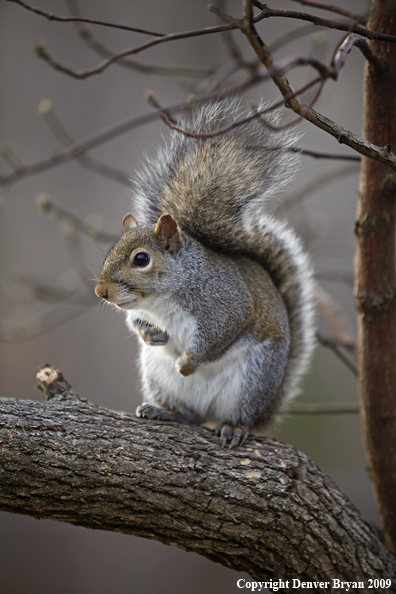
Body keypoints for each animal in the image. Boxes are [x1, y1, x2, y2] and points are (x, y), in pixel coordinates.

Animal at [95, 100, 316, 444]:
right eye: (110, 251)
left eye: (141, 259)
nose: (101, 291)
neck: (162, 300)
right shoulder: (142, 312)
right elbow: (134, 322)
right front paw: (150, 334)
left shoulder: (224, 304)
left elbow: (219, 334)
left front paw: (188, 364)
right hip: (158, 377)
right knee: (191, 416)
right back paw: (166, 413)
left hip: (253, 380)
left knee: (238, 417)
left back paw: (234, 427)